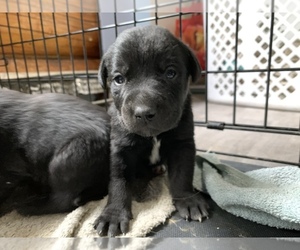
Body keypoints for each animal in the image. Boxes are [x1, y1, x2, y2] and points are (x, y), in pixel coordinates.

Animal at [94, 26, 209, 237]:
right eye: (119, 79)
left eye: (170, 73)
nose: (143, 112)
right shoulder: (120, 149)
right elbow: (118, 181)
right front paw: (113, 214)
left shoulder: (182, 145)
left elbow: (182, 174)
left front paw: (187, 199)